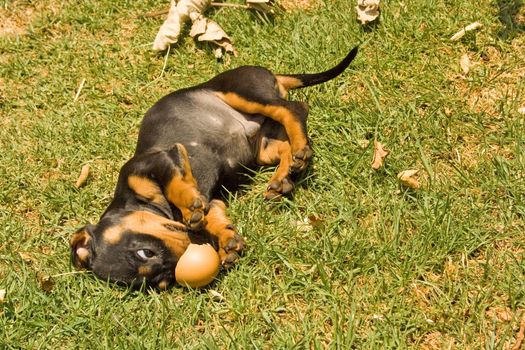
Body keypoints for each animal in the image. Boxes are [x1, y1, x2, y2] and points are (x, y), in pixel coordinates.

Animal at [69, 45, 358, 288]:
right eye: (164, 282)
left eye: (144, 252)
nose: (189, 250)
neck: (132, 201)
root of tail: (272, 74)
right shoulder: (214, 201)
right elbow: (215, 218)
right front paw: (227, 243)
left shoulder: (157, 159)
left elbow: (177, 185)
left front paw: (190, 208)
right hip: (263, 147)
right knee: (285, 142)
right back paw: (282, 178)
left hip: (243, 93)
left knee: (294, 108)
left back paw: (298, 149)